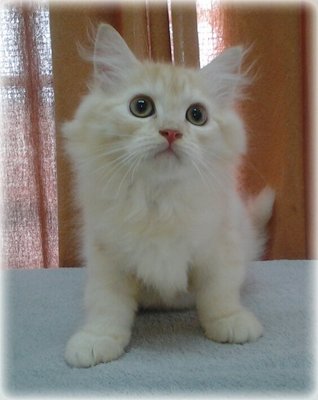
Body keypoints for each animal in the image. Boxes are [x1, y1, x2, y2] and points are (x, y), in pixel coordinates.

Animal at [62, 24, 274, 368]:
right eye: (141, 107)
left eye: (196, 115)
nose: (172, 132)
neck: (158, 200)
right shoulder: (106, 254)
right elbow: (106, 304)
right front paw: (97, 340)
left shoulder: (220, 244)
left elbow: (219, 292)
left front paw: (229, 321)